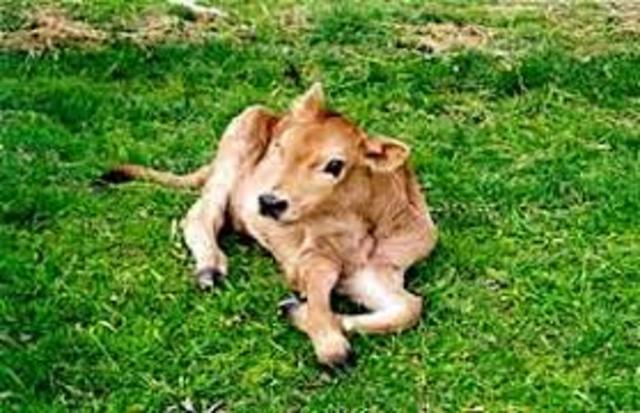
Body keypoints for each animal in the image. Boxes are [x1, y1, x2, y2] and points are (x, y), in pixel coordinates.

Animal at [101, 83, 438, 368]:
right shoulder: (309, 258)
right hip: (236, 145)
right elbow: (319, 293)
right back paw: (209, 268)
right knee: (201, 214)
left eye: (335, 165)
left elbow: (409, 308)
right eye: (280, 148)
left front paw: (305, 313)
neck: (362, 230)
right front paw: (332, 348)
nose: (269, 202)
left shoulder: (377, 274)